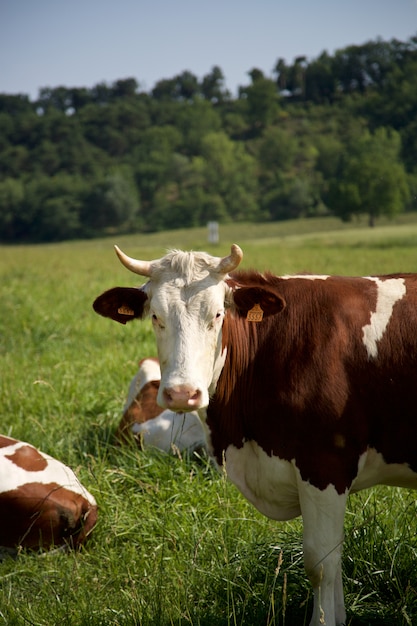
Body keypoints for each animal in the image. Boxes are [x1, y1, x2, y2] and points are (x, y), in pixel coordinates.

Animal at [92, 243, 416, 624]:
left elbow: (320, 562)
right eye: (156, 316)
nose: (182, 394)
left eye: (218, 314)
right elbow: (334, 565)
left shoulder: (325, 463)